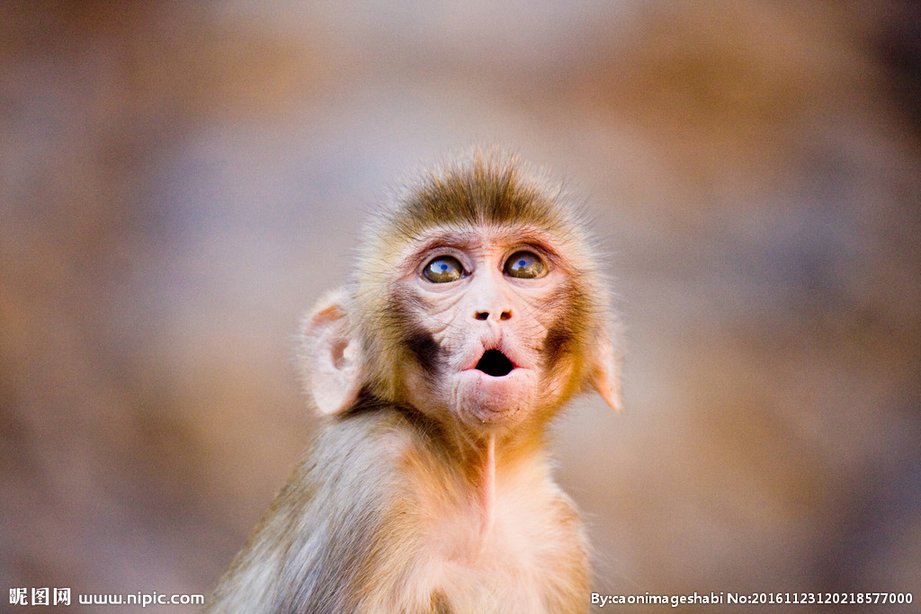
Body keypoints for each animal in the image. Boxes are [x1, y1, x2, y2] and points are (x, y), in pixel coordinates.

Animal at [207, 150, 624, 614]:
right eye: (442, 270)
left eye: (523, 267)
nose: (492, 310)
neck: (478, 495)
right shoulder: (370, 481)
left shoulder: (561, 537)